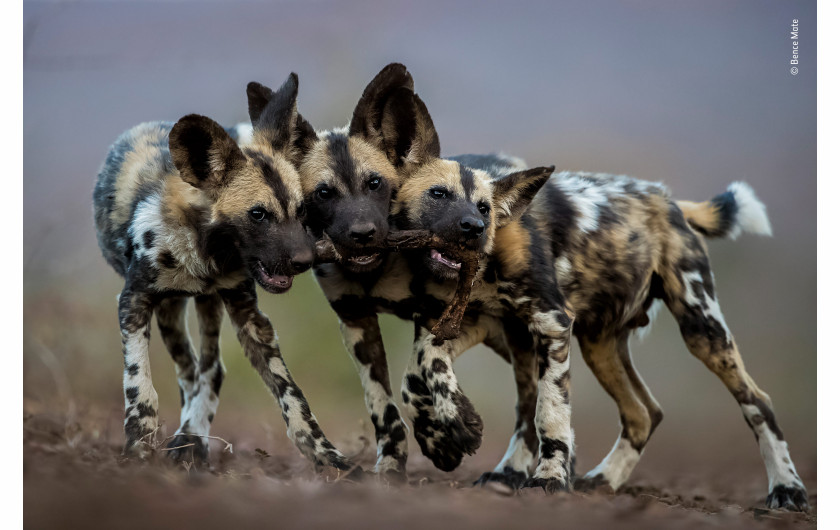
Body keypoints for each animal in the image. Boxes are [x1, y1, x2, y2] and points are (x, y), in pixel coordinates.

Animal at [92, 71, 352, 470]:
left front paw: (328, 456)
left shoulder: (250, 317)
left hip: (204, 305)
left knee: (210, 370)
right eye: (258, 214)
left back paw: (192, 437)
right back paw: (186, 435)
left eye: (302, 210)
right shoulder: (133, 302)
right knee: (189, 372)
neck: (206, 256)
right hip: (171, 311)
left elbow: (292, 395)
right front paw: (139, 443)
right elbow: (139, 382)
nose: (305, 261)